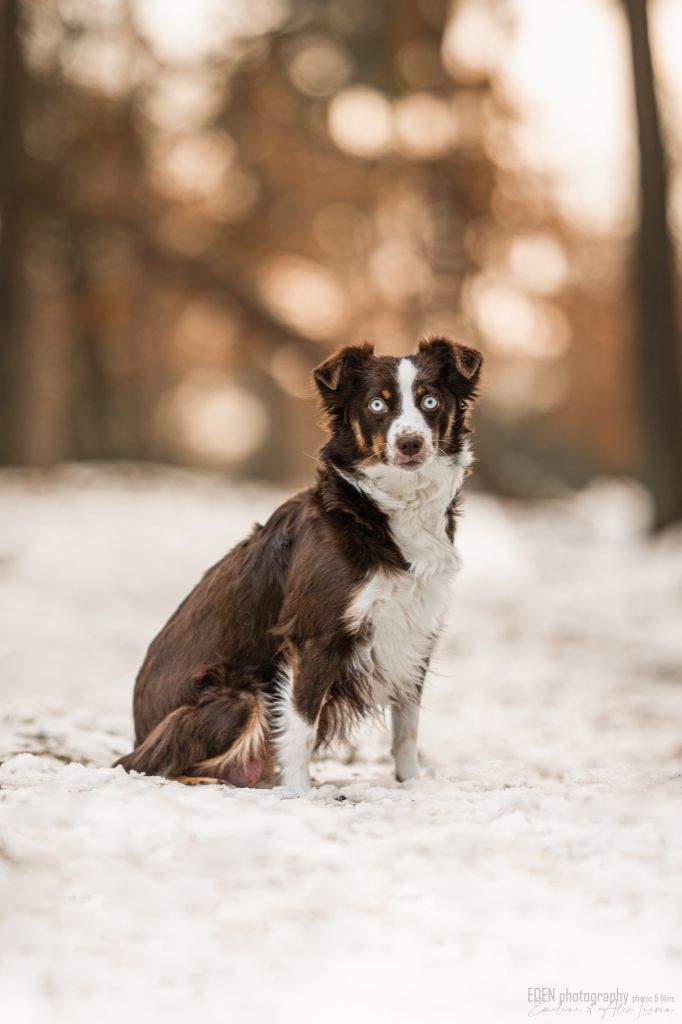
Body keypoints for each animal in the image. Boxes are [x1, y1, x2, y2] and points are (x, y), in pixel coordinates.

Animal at [114, 335, 481, 790]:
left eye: (430, 401)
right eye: (377, 405)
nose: (410, 443)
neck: (381, 511)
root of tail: (138, 731)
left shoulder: (413, 634)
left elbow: (407, 727)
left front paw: (410, 784)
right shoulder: (314, 638)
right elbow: (300, 727)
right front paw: (299, 793)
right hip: (240, 696)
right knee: (154, 765)